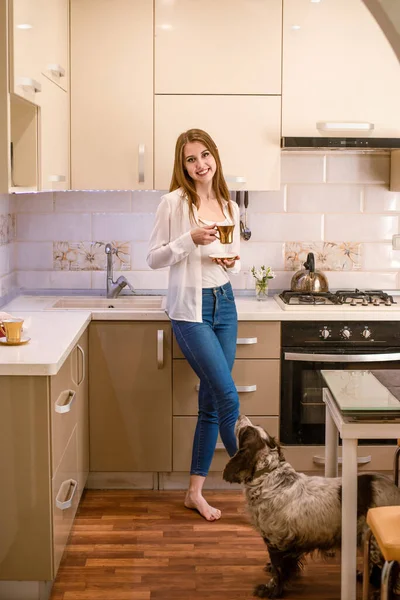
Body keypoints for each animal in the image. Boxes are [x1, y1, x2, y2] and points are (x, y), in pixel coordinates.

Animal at [222, 414, 400, 596]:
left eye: (244, 431)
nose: (240, 415)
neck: (269, 476)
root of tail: (394, 488)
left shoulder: (276, 541)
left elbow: (279, 571)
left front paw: (270, 590)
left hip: (374, 541)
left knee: (391, 569)